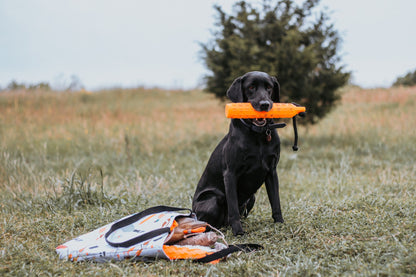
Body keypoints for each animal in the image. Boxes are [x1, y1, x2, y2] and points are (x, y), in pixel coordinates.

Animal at [193, 71, 284, 235]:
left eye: (269, 87)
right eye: (251, 87)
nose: (265, 105)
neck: (258, 135)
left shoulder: (272, 171)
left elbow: (276, 202)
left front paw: (280, 223)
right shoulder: (230, 174)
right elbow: (233, 208)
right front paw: (239, 232)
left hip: (251, 197)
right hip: (212, 199)